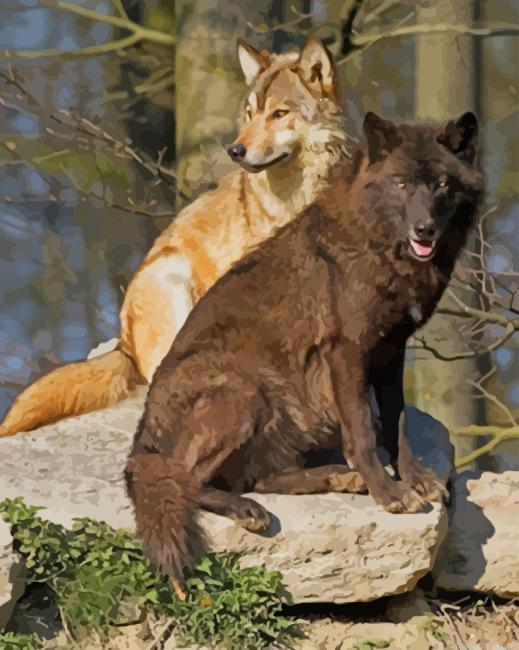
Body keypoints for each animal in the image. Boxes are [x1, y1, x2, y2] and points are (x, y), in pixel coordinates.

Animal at [0, 37, 348, 437]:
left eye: (278, 114)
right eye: (249, 113)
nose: (235, 150)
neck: (295, 198)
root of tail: (123, 343)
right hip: (172, 273)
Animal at [125, 111, 483, 586]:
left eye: (443, 184)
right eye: (402, 183)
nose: (424, 229)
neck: (377, 245)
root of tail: (141, 445)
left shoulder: (392, 351)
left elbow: (397, 421)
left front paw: (413, 477)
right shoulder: (347, 351)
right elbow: (363, 432)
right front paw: (388, 491)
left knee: (258, 477)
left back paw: (336, 478)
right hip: (245, 389)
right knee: (189, 479)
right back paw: (250, 508)